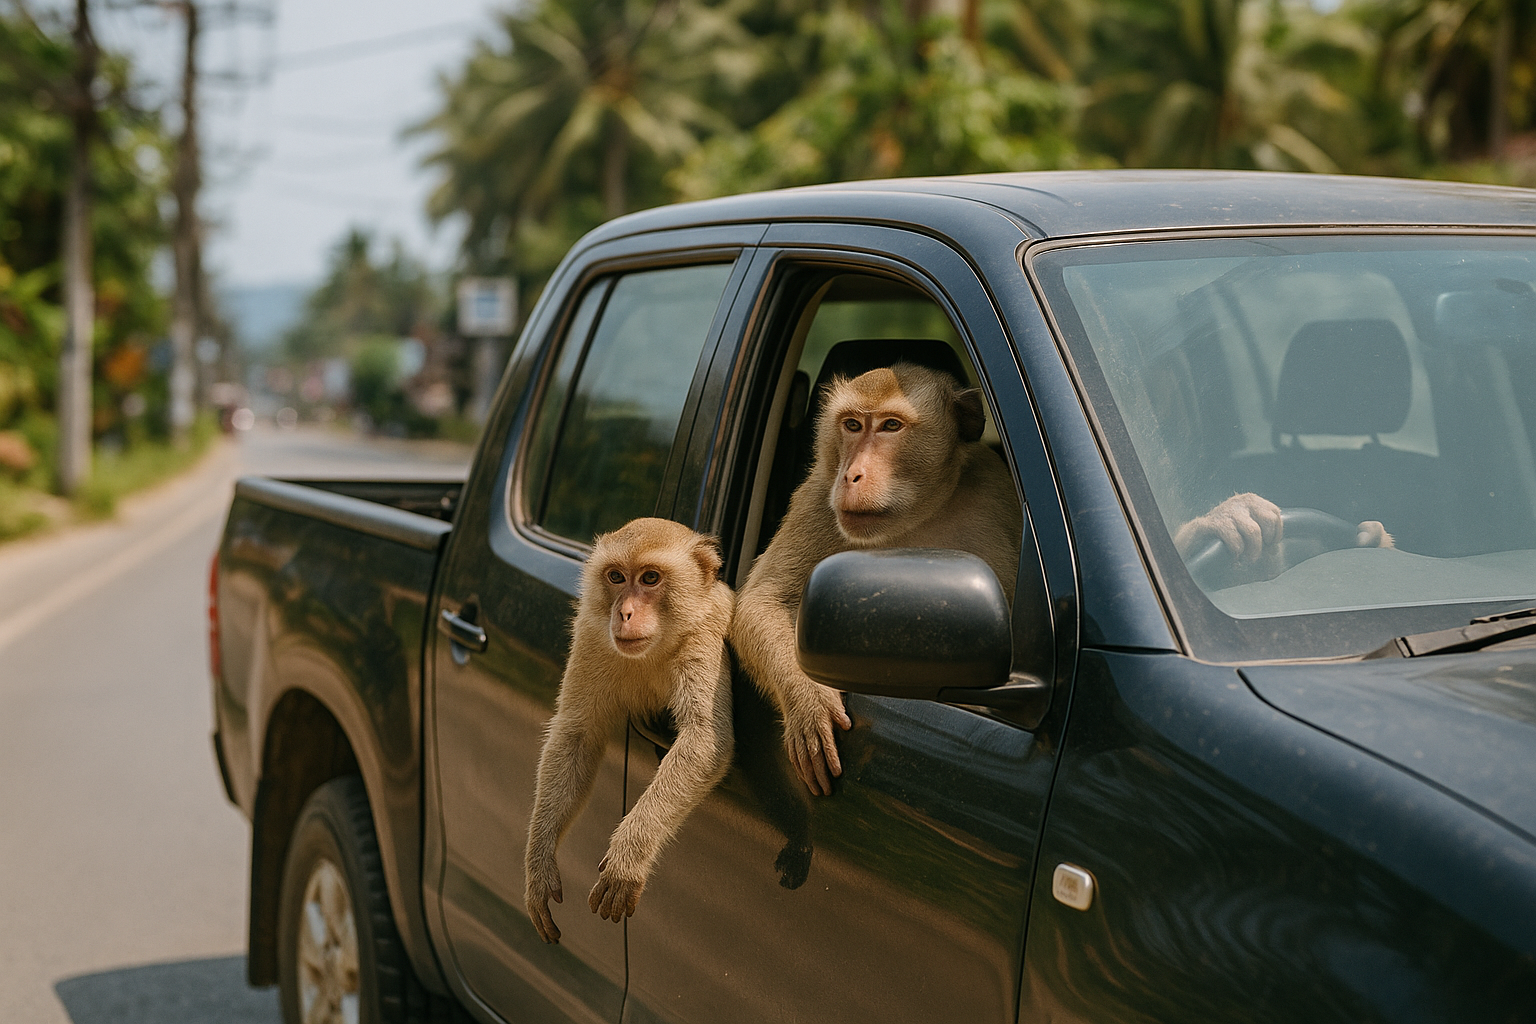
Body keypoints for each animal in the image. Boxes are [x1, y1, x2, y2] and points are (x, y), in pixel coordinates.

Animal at [524, 517, 735, 944]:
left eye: (650, 578)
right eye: (617, 577)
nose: (624, 613)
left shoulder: (705, 632)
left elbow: (703, 739)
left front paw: (627, 857)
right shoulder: (592, 631)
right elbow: (577, 733)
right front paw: (538, 862)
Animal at [732, 362, 1022, 797]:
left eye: (890, 426)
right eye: (852, 425)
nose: (851, 475)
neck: (917, 515)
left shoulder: (994, 496)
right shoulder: (819, 497)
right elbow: (762, 602)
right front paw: (809, 702)